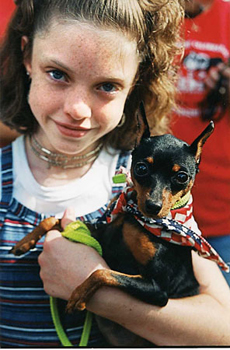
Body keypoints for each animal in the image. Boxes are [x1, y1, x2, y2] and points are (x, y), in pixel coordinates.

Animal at [10, 104, 215, 348]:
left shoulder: (158, 290)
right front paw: (24, 243)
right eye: (141, 168)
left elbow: (103, 273)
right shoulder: (101, 234)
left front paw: (79, 295)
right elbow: (53, 220)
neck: (135, 218)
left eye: (182, 177)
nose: (153, 206)